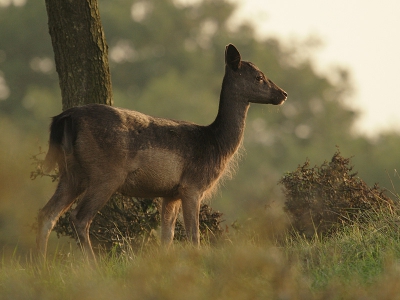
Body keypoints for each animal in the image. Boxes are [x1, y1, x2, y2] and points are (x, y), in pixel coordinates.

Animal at [36, 44, 288, 260]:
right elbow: (193, 235)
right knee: (79, 218)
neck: (217, 144)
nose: (283, 94)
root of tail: (66, 117)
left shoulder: (170, 193)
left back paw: (40, 264)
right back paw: (92, 266)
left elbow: (167, 237)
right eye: (259, 77)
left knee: (46, 214)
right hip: (105, 174)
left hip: (71, 173)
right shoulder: (192, 186)